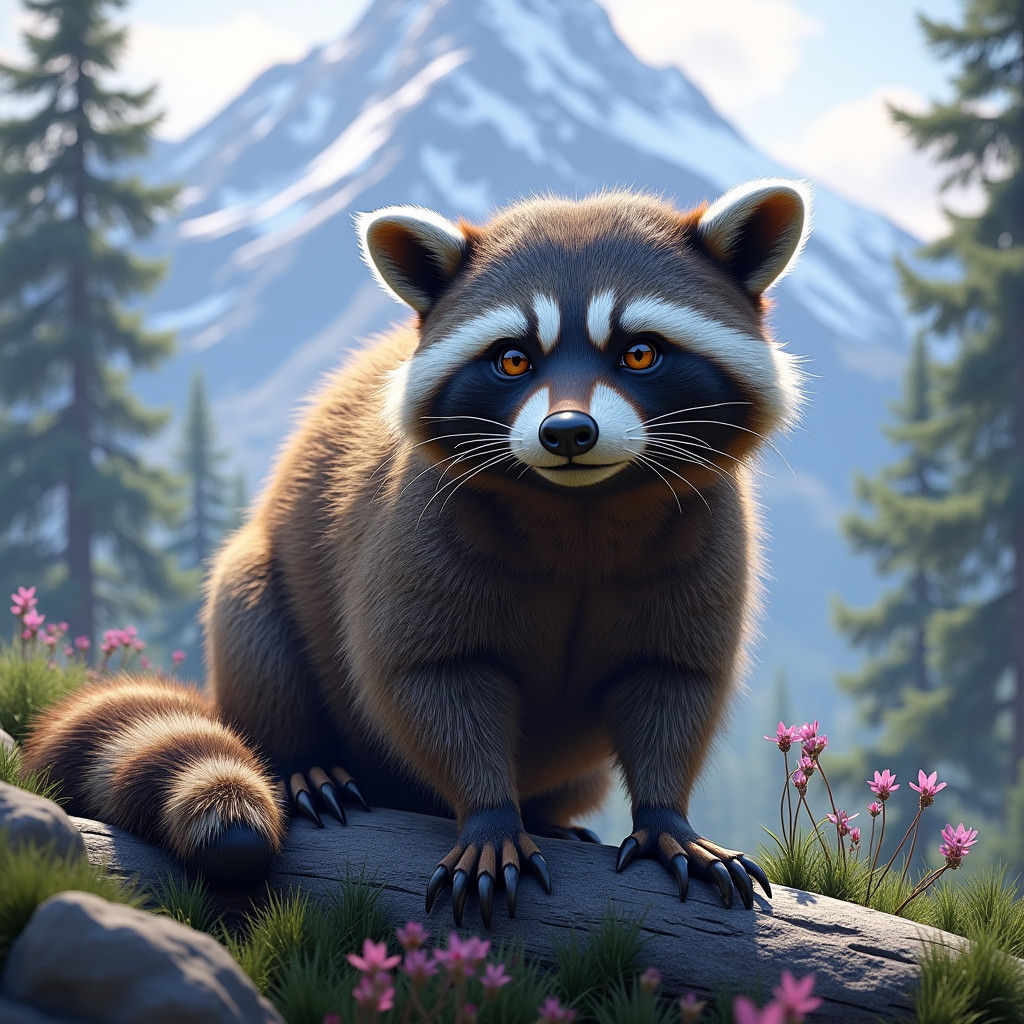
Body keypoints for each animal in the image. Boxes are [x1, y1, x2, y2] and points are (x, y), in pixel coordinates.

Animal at [23, 179, 809, 926]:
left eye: (638, 352)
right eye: (513, 359)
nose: (567, 433)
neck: (580, 504)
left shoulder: (707, 525)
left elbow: (673, 681)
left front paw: (665, 814)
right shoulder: (411, 520)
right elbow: (427, 678)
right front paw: (488, 813)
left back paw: (551, 815)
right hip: (261, 586)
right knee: (252, 623)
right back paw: (305, 762)